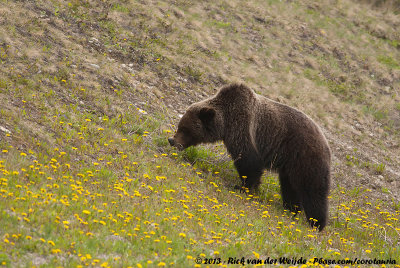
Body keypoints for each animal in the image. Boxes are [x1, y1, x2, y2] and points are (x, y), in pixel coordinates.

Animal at [169, 84, 332, 230]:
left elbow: (249, 162)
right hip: (290, 165)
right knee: (291, 187)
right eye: (180, 126)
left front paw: (243, 187)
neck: (225, 122)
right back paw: (291, 209)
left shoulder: (244, 128)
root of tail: (326, 143)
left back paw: (316, 222)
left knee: (313, 189)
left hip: (305, 156)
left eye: (185, 129)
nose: (172, 140)